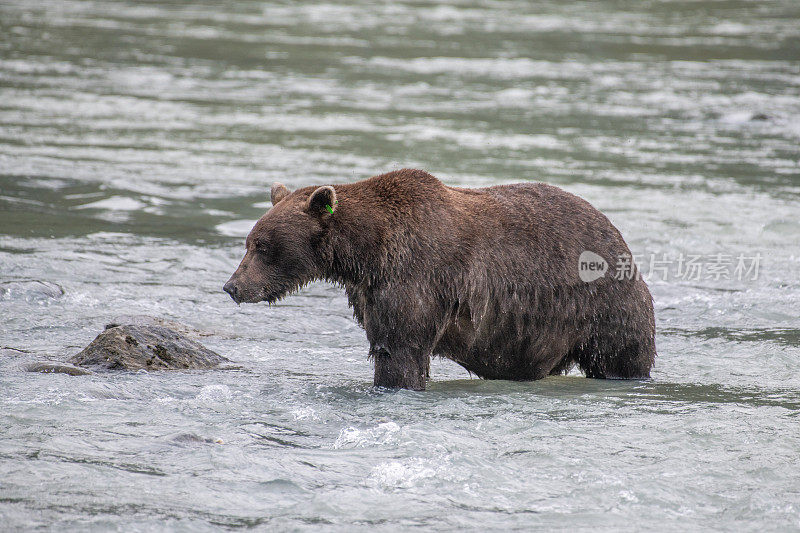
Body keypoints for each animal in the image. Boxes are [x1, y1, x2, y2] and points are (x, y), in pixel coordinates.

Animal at [222, 168, 652, 388]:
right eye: (249, 242)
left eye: (262, 246)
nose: (232, 286)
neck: (365, 252)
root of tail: (617, 233)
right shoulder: (370, 291)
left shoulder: (415, 277)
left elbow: (401, 351)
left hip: (604, 304)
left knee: (622, 355)